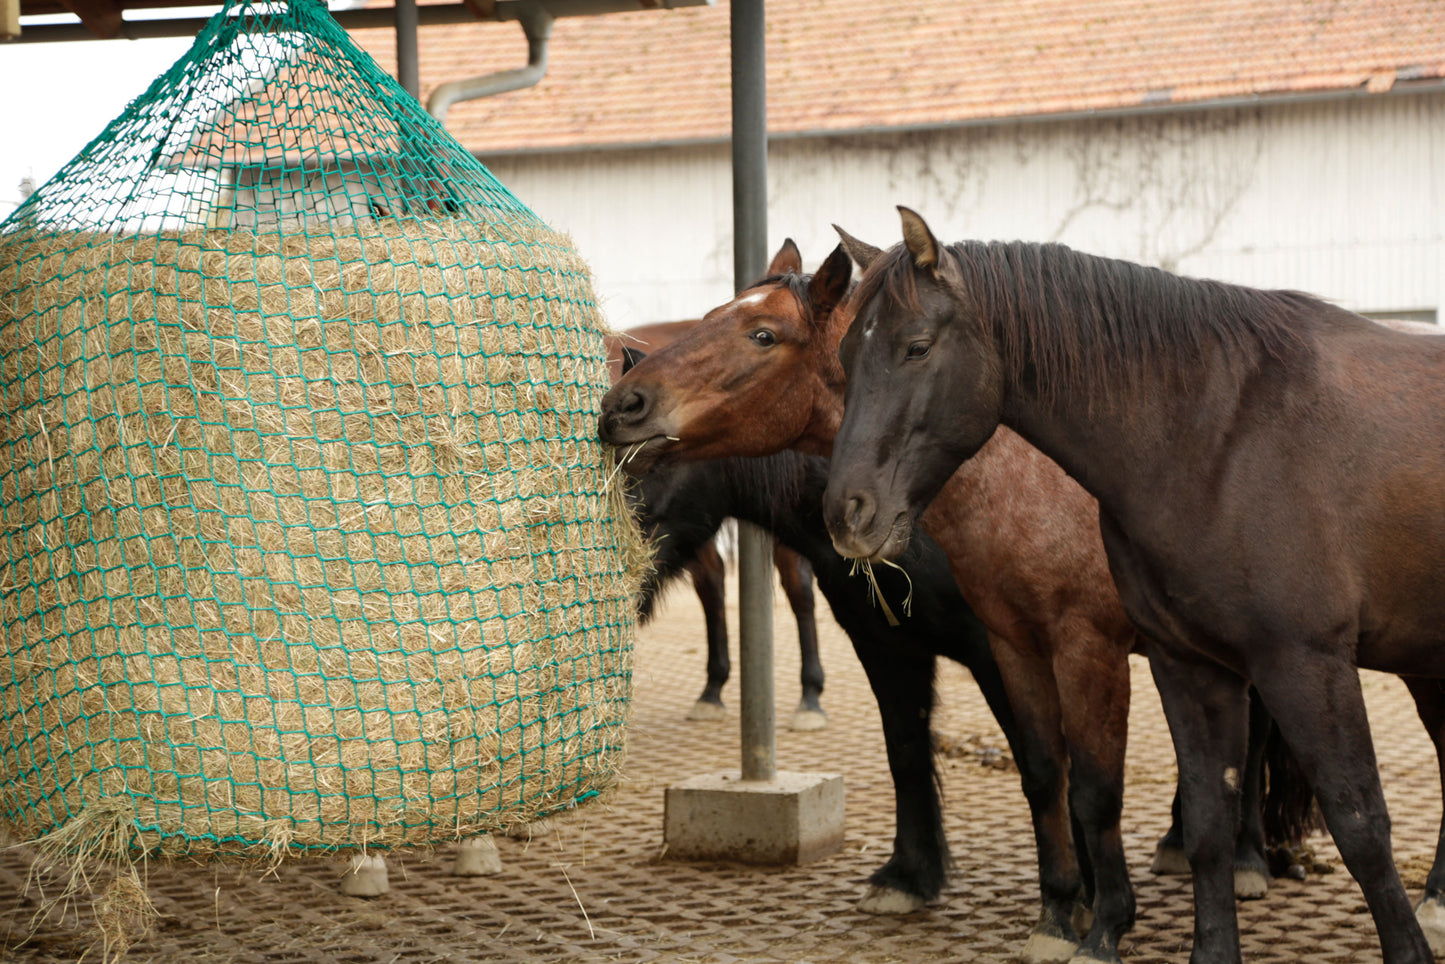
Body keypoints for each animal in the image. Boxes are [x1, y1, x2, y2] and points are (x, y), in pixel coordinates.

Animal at [820, 209, 1445, 964]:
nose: (846, 513)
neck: (1219, 438)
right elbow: (1204, 822)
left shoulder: (1304, 664)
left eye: (916, 347)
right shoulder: (1189, 665)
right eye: (844, 356)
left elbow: (1358, 823)